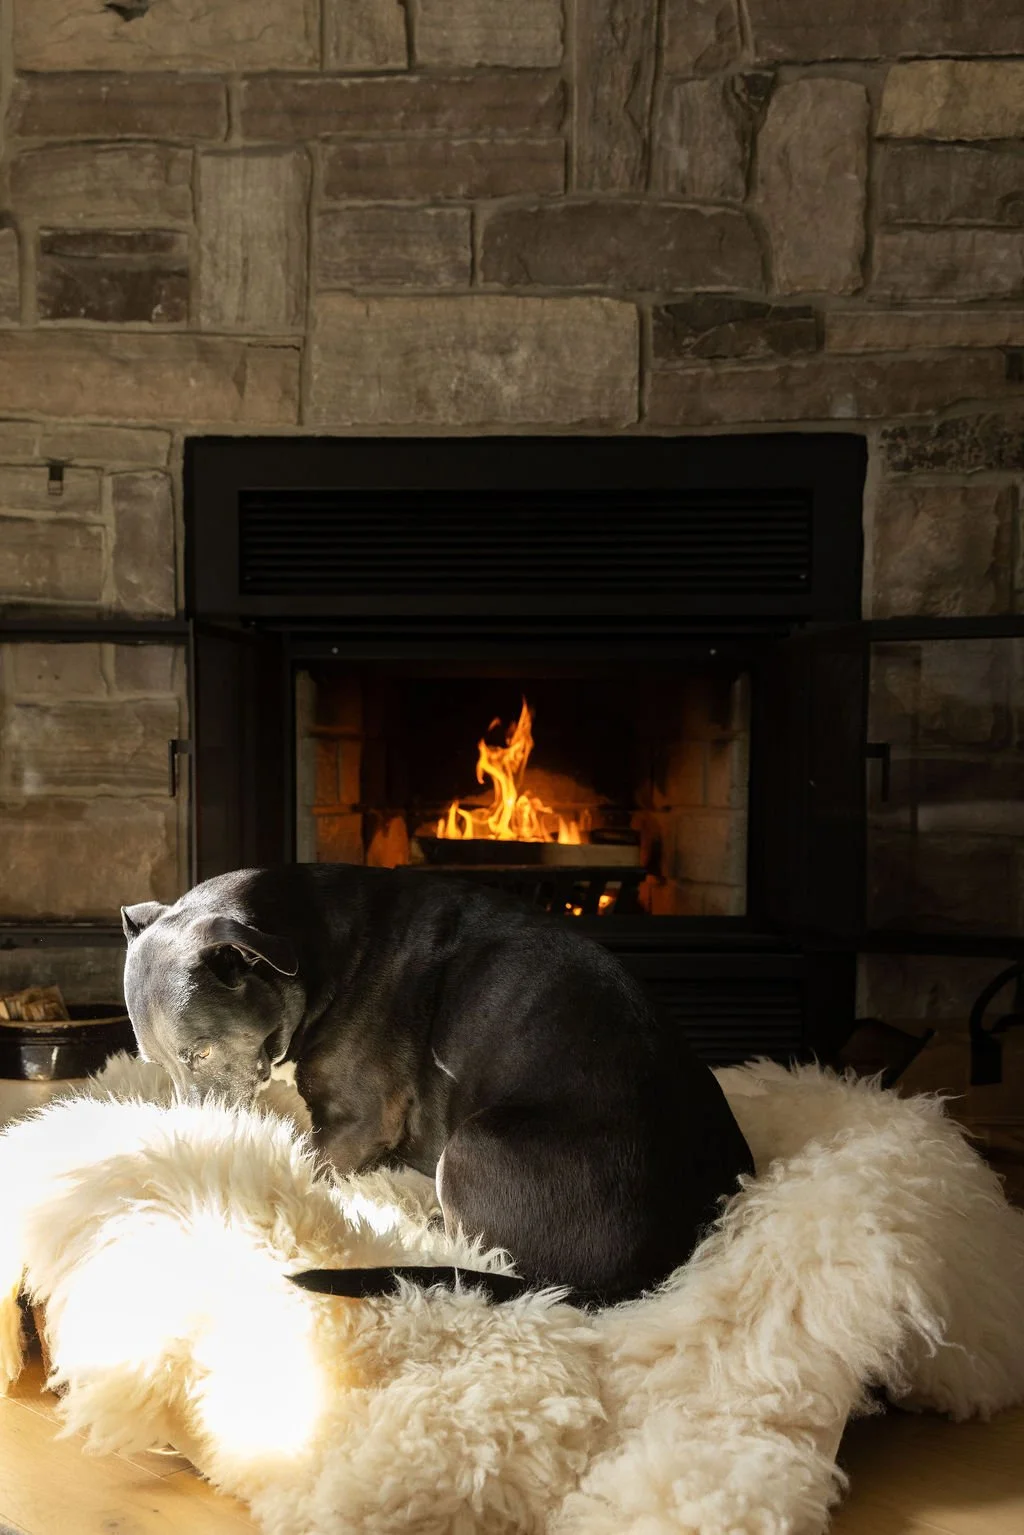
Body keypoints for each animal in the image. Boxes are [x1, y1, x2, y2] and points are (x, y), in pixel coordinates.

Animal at [121, 864, 754, 1303]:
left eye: (201, 1052)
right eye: (156, 1064)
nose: (203, 1138)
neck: (318, 945)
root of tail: (665, 1262)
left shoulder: (357, 1121)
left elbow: (312, 1164)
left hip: (472, 1147)